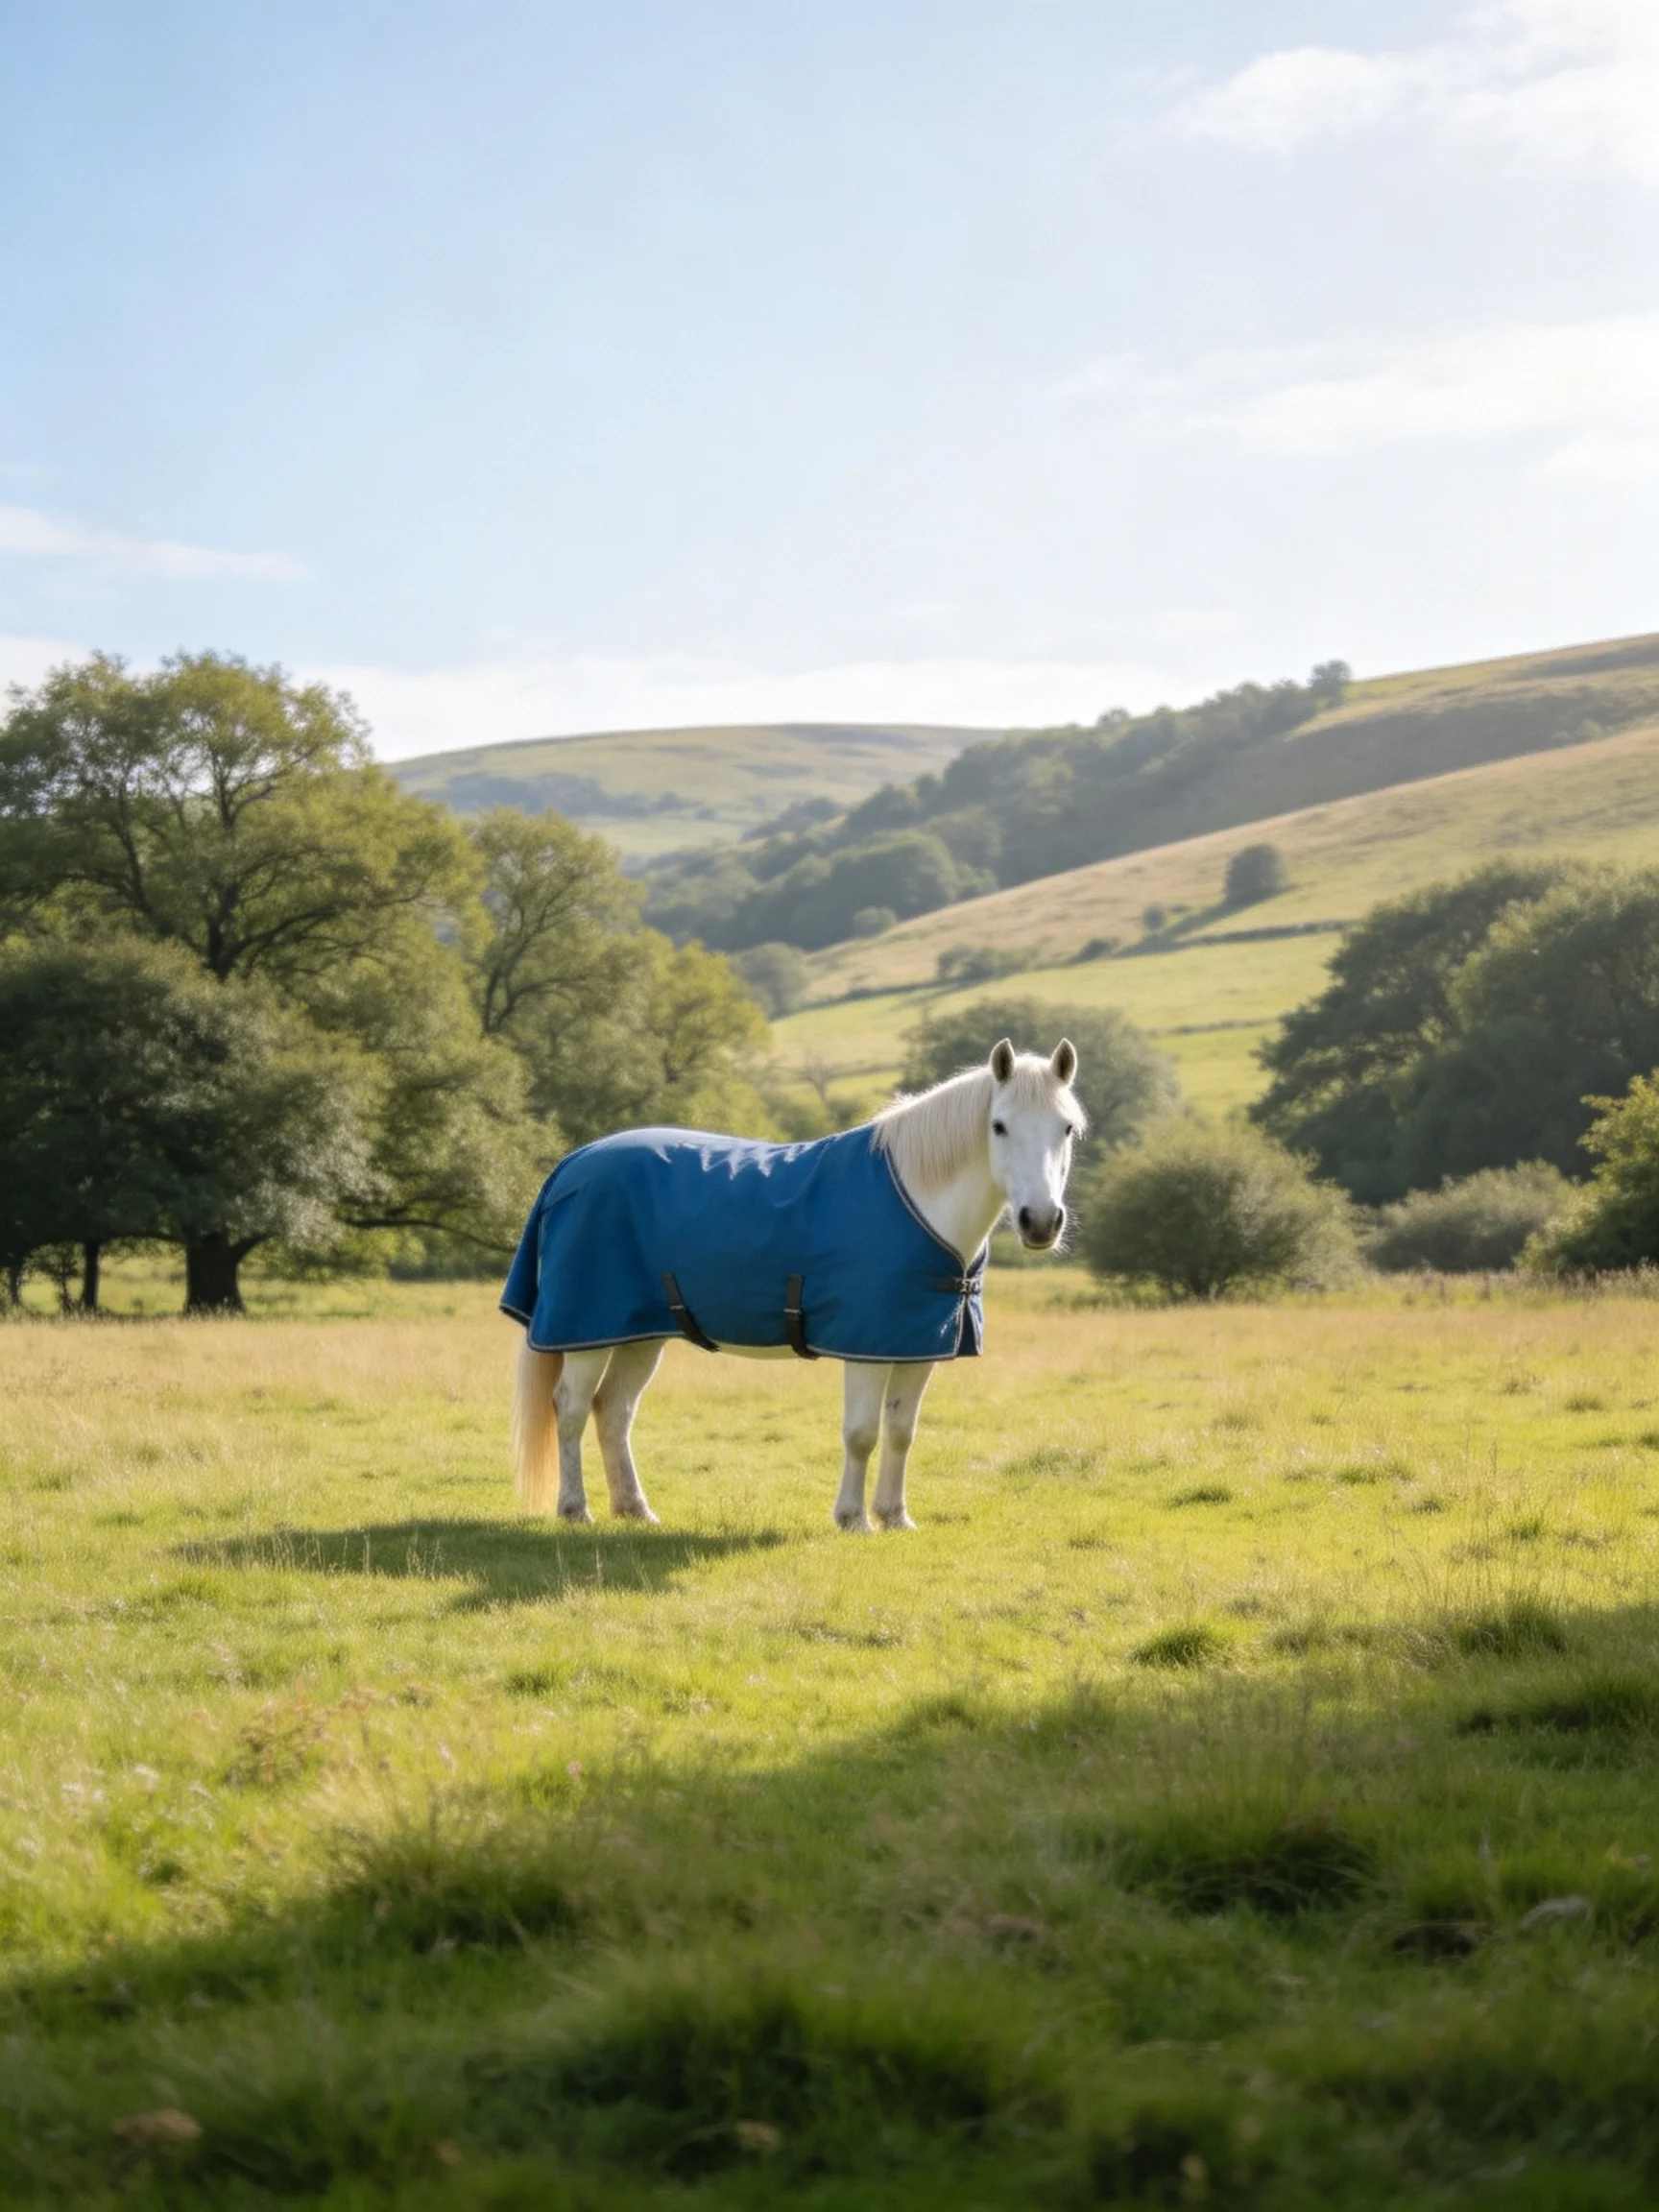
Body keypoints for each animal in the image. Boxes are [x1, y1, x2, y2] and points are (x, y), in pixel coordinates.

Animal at [504, 1036, 1083, 1532]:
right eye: (999, 1126)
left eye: (1067, 1129)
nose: (1040, 1222)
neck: (918, 1200)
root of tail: (573, 1163)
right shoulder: (867, 1348)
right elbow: (861, 1434)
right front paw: (853, 1519)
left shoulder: (918, 1347)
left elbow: (900, 1433)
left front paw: (895, 1517)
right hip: (587, 1330)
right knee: (572, 1407)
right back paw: (575, 1509)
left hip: (638, 1334)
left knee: (614, 1410)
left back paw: (635, 1509)